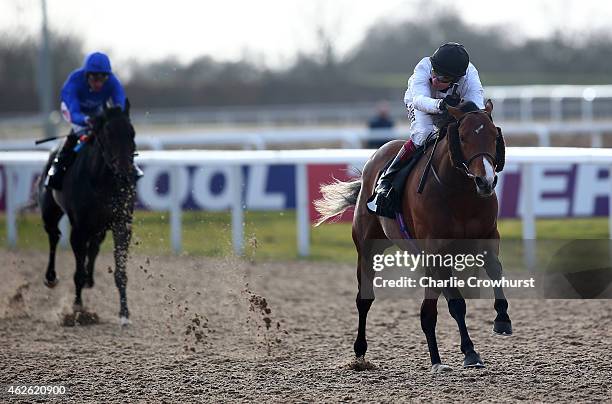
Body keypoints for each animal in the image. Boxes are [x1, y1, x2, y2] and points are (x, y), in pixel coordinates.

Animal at [38, 101, 136, 326]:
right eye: (108, 134)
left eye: (132, 133)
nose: (126, 172)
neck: (102, 181)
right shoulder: (79, 228)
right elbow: (77, 272)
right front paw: (77, 309)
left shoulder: (121, 223)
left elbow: (120, 272)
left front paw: (124, 314)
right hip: (50, 210)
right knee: (53, 235)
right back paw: (51, 277)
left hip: (99, 225)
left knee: (94, 246)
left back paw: (90, 280)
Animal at [316, 100, 512, 372]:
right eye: (462, 137)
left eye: (494, 136)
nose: (486, 181)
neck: (460, 194)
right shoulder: (436, 250)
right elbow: (456, 303)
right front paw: (469, 351)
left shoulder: (487, 236)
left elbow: (494, 269)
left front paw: (502, 319)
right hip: (367, 249)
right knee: (364, 299)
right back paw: (360, 354)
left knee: (429, 308)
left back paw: (436, 359)